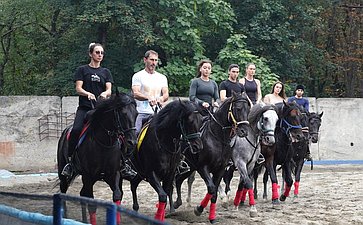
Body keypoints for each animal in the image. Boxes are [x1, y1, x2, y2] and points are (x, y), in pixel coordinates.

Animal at [57, 90, 138, 224]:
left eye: (136, 114)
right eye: (123, 114)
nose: (132, 142)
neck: (104, 143)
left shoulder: (113, 174)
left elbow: (117, 195)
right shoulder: (88, 176)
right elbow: (92, 204)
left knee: (82, 194)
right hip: (64, 174)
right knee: (63, 191)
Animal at [173, 91, 250, 223]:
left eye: (248, 109)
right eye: (238, 108)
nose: (244, 131)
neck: (217, 138)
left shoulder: (220, 169)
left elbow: (214, 193)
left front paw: (212, 217)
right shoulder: (203, 167)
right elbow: (211, 188)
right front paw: (198, 209)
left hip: (190, 167)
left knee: (178, 180)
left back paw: (177, 203)